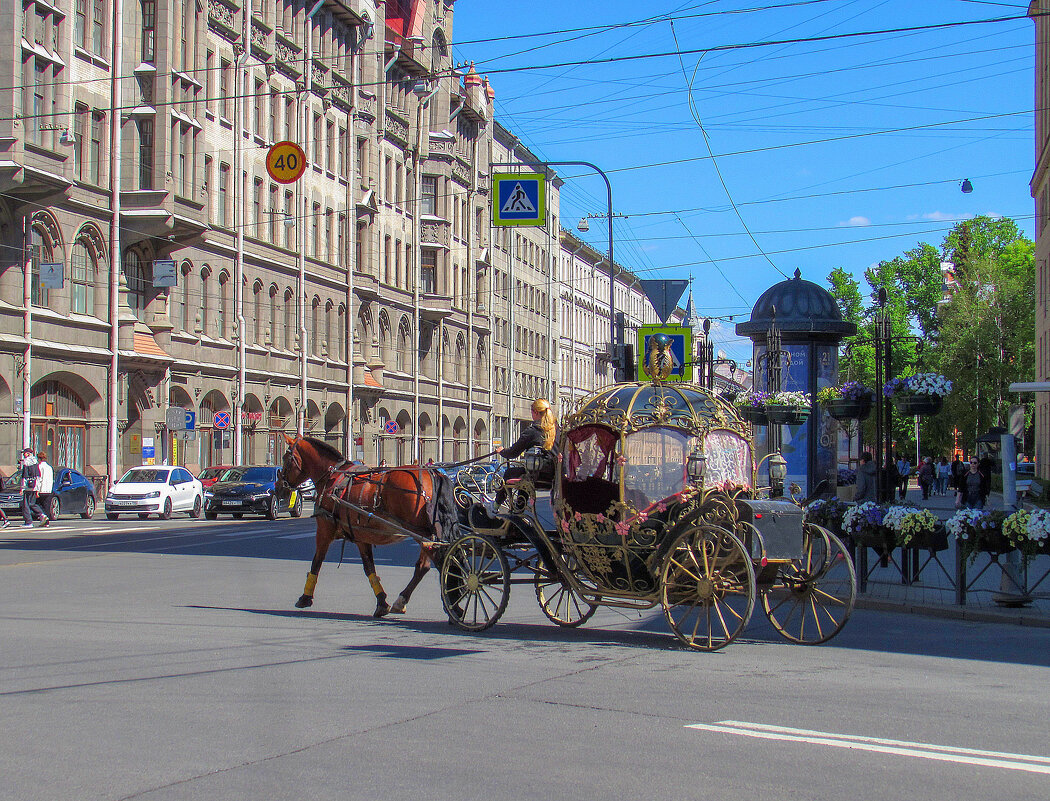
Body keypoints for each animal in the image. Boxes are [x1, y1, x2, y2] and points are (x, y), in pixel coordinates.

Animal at [277, 434, 445, 617]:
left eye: (286, 459)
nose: (279, 489)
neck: (332, 478)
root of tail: (431, 473)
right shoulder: (361, 536)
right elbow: (369, 567)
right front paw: (381, 602)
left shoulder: (324, 529)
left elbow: (317, 561)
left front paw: (305, 597)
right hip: (426, 534)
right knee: (423, 566)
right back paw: (402, 601)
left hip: (419, 532)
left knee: (438, 561)